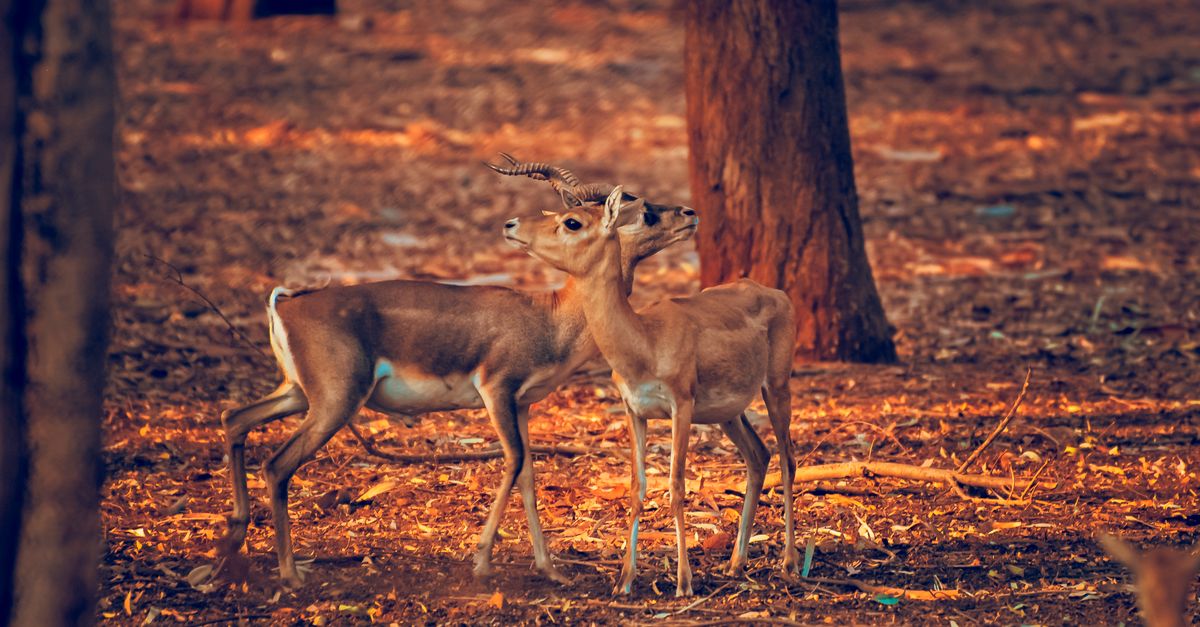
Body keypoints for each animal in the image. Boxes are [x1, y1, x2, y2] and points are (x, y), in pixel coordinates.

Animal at [219, 158, 700, 588]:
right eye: (570, 220)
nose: (689, 213)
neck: (550, 316)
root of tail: (285, 303)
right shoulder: (496, 389)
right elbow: (514, 461)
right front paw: (482, 561)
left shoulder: (522, 404)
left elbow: (529, 474)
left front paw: (550, 570)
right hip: (334, 402)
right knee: (276, 465)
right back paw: (289, 573)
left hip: (298, 393)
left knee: (234, 418)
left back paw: (231, 544)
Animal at [503, 187, 798, 596]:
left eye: (572, 222)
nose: (511, 224)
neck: (644, 339)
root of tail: (776, 292)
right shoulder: (635, 411)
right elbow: (637, 488)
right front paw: (624, 581)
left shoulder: (681, 406)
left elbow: (675, 486)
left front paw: (684, 583)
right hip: (728, 414)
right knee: (759, 455)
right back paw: (736, 563)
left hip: (777, 387)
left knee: (788, 459)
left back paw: (790, 563)